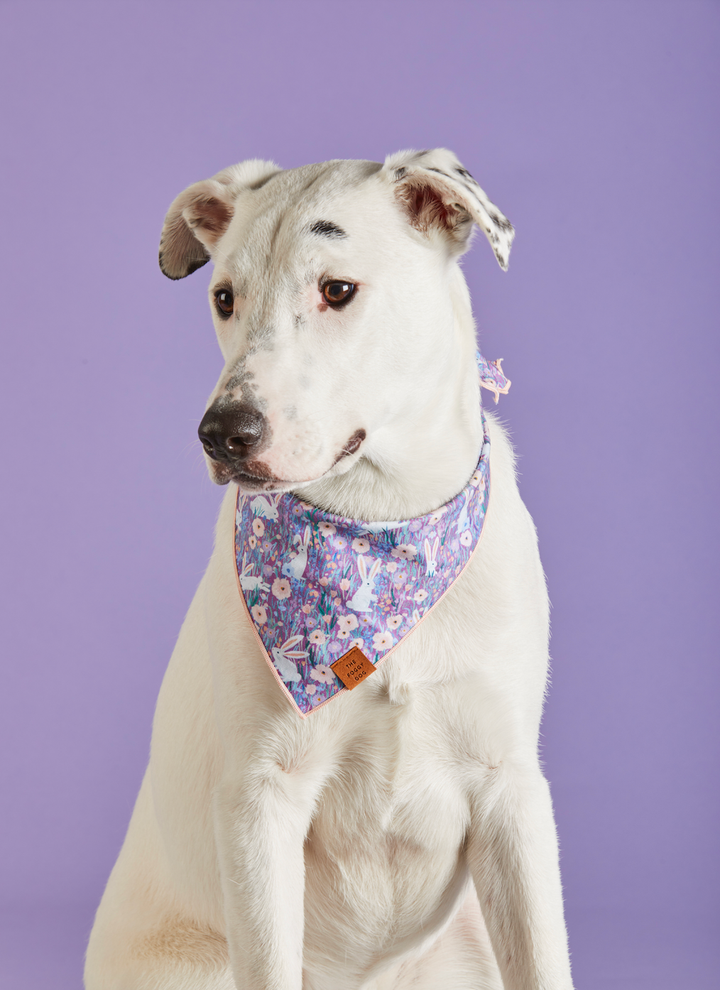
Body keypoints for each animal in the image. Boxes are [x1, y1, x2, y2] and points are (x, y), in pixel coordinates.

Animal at [84, 149, 572, 990]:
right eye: (224, 297)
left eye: (337, 290)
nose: (223, 432)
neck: (378, 535)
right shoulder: (260, 803)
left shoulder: (511, 790)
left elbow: (543, 961)